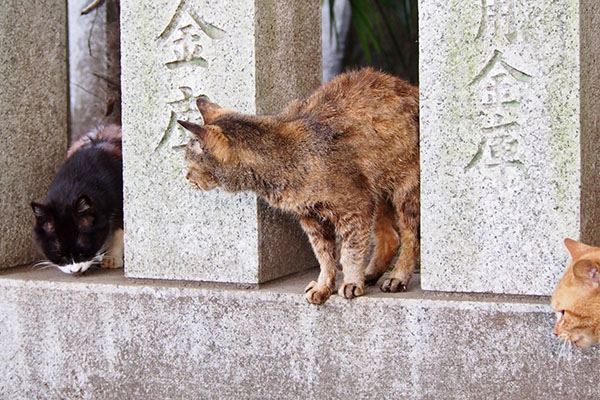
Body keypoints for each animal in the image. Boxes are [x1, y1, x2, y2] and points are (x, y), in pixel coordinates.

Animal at [180, 69, 420, 306]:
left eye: (190, 164)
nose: (186, 177)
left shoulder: (356, 208)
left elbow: (350, 251)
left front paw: (351, 281)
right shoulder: (311, 218)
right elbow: (324, 256)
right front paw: (324, 286)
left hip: (406, 193)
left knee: (410, 238)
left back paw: (397, 277)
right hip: (378, 193)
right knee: (391, 238)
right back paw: (370, 274)